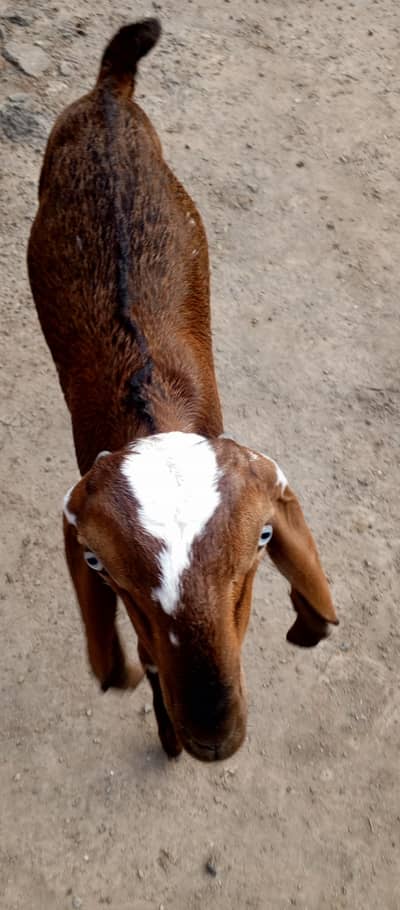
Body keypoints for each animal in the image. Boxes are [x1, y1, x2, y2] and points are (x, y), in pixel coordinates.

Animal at [27, 20, 338, 763]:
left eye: (263, 537)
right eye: (95, 563)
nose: (211, 732)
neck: (154, 408)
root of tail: (109, 93)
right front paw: (166, 729)